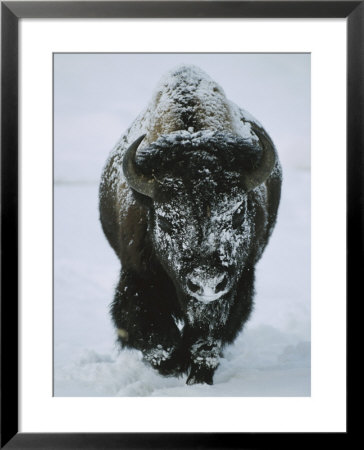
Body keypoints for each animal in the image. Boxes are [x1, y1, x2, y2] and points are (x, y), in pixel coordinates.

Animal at [99, 65, 282, 384]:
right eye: (165, 219)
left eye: (237, 213)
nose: (207, 282)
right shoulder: (137, 278)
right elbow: (155, 338)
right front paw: (173, 365)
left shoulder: (236, 286)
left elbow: (206, 339)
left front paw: (197, 375)